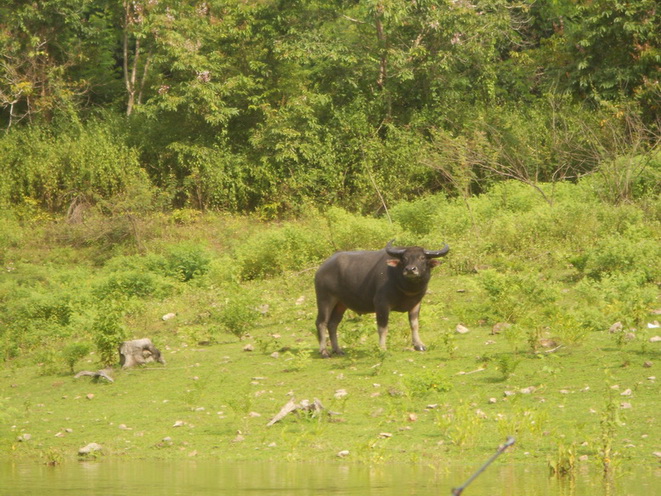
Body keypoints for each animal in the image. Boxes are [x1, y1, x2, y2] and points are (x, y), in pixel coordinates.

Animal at [314, 240, 448, 356]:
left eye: (422, 258)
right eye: (404, 258)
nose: (410, 269)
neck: (406, 287)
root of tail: (321, 269)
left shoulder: (416, 303)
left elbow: (414, 325)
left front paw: (419, 345)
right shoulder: (381, 304)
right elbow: (383, 328)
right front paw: (382, 348)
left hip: (341, 304)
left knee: (332, 324)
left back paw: (337, 350)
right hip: (325, 299)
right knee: (321, 322)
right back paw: (324, 352)